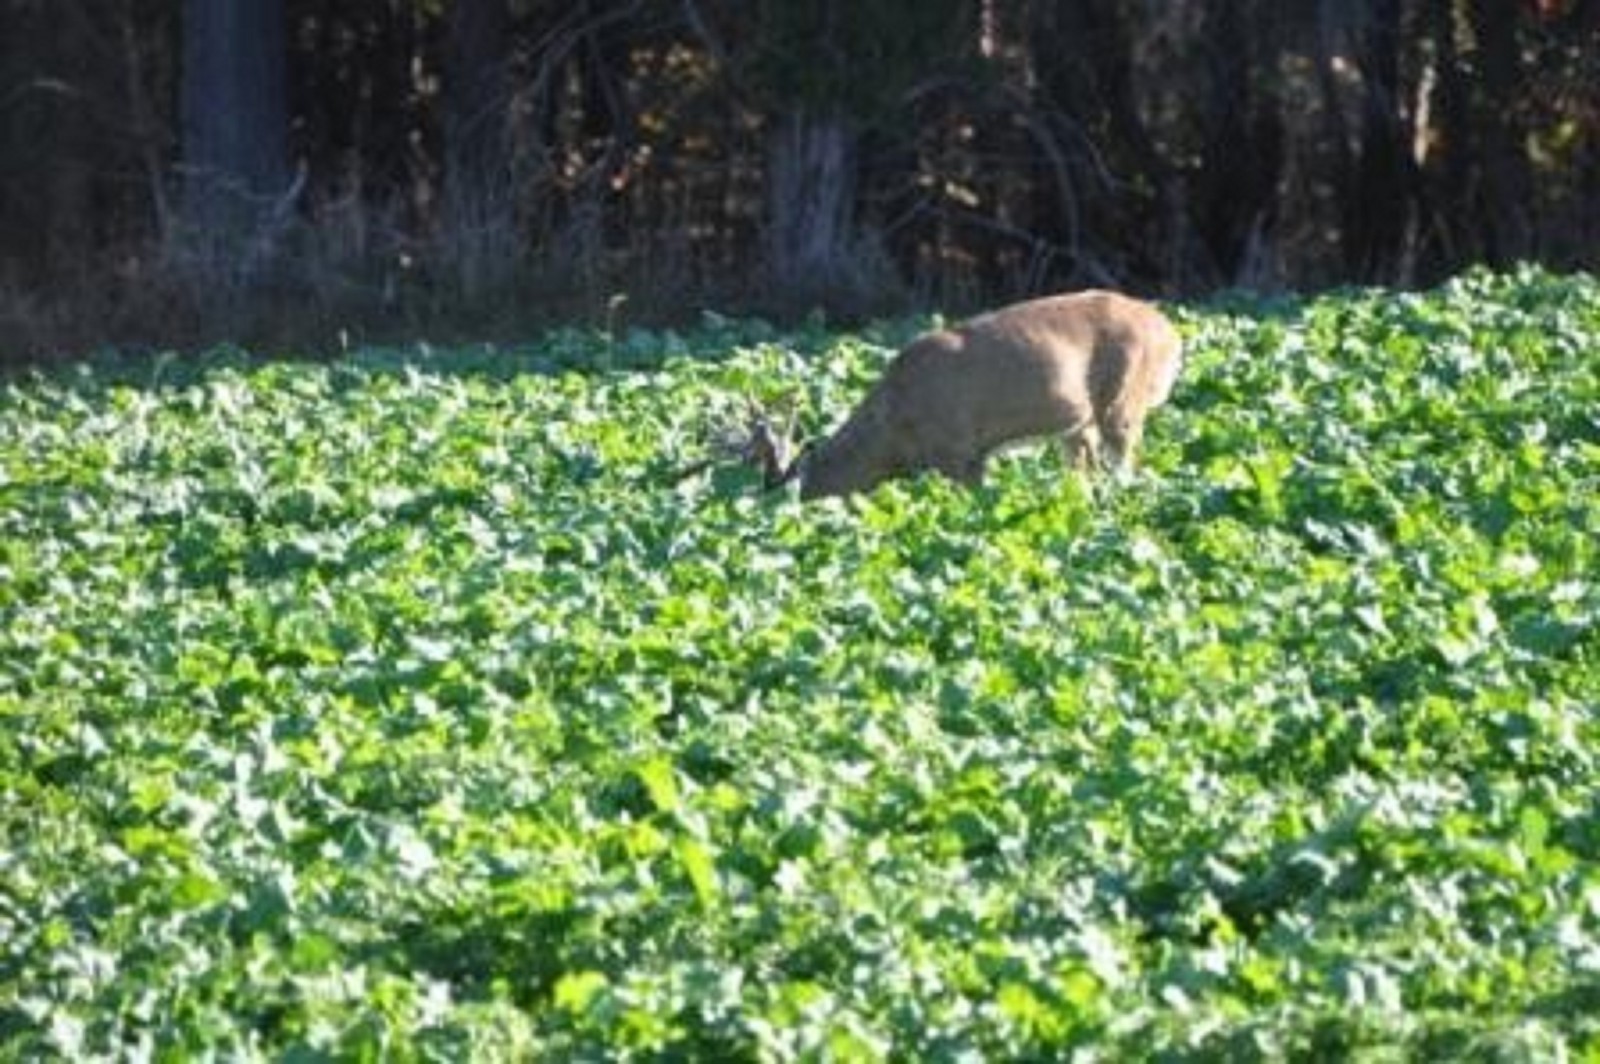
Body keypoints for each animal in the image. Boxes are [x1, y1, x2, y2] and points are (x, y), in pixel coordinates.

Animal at [723, 290, 1183, 500]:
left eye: (793, 496)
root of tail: (1171, 334)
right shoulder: (969, 456)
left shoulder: (957, 451)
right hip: (1076, 425)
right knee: (1086, 473)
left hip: (1123, 402)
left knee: (1124, 467)